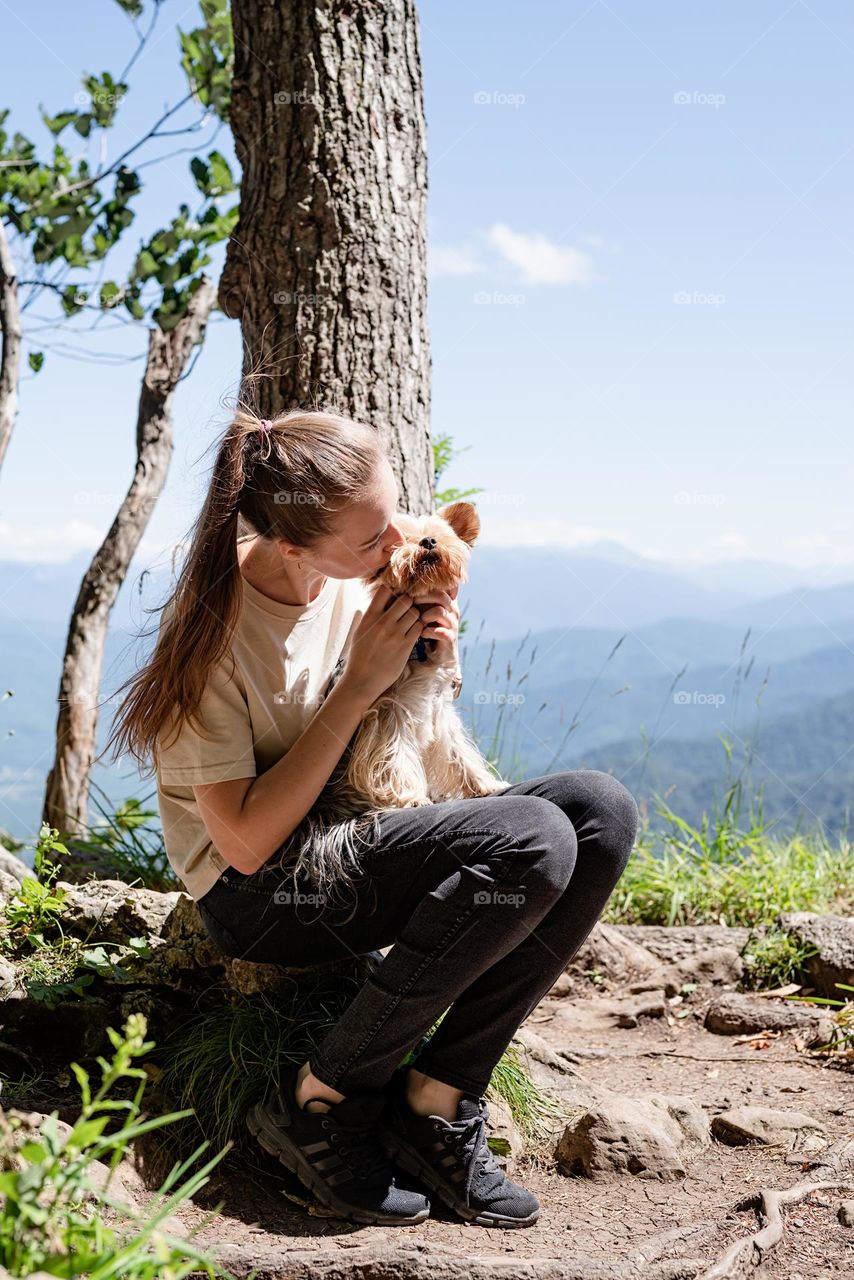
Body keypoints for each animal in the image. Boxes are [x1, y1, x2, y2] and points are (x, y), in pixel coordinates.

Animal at [273, 499, 512, 911]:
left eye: (438, 534)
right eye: (402, 540)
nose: (428, 542)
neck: (419, 635)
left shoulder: (439, 708)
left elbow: (458, 756)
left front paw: (484, 786)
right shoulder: (388, 710)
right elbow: (394, 759)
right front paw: (412, 799)